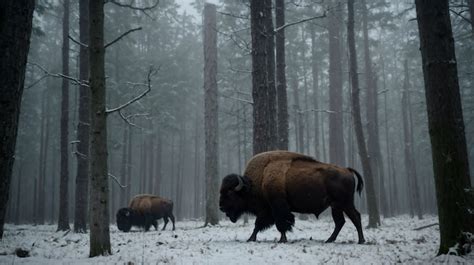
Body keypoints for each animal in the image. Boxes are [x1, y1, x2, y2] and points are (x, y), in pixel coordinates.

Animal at [219, 151, 366, 243]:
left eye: (230, 193)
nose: (221, 207)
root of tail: (347, 170)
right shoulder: (267, 210)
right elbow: (259, 225)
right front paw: (251, 238)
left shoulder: (277, 207)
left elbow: (281, 223)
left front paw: (282, 240)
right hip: (336, 206)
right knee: (340, 222)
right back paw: (329, 240)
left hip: (345, 203)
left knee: (355, 217)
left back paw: (361, 240)